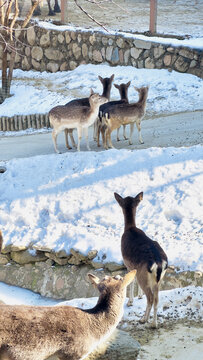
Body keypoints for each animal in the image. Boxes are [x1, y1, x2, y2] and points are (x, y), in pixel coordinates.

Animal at [114, 193, 168, 328]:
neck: (130, 228)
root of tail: (159, 263)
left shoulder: (128, 264)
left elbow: (131, 280)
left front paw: (130, 302)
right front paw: (139, 296)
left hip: (143, 275)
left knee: (151, 298)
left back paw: (144, 319)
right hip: (159, 279)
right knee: (156, 299)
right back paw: (154, 323)